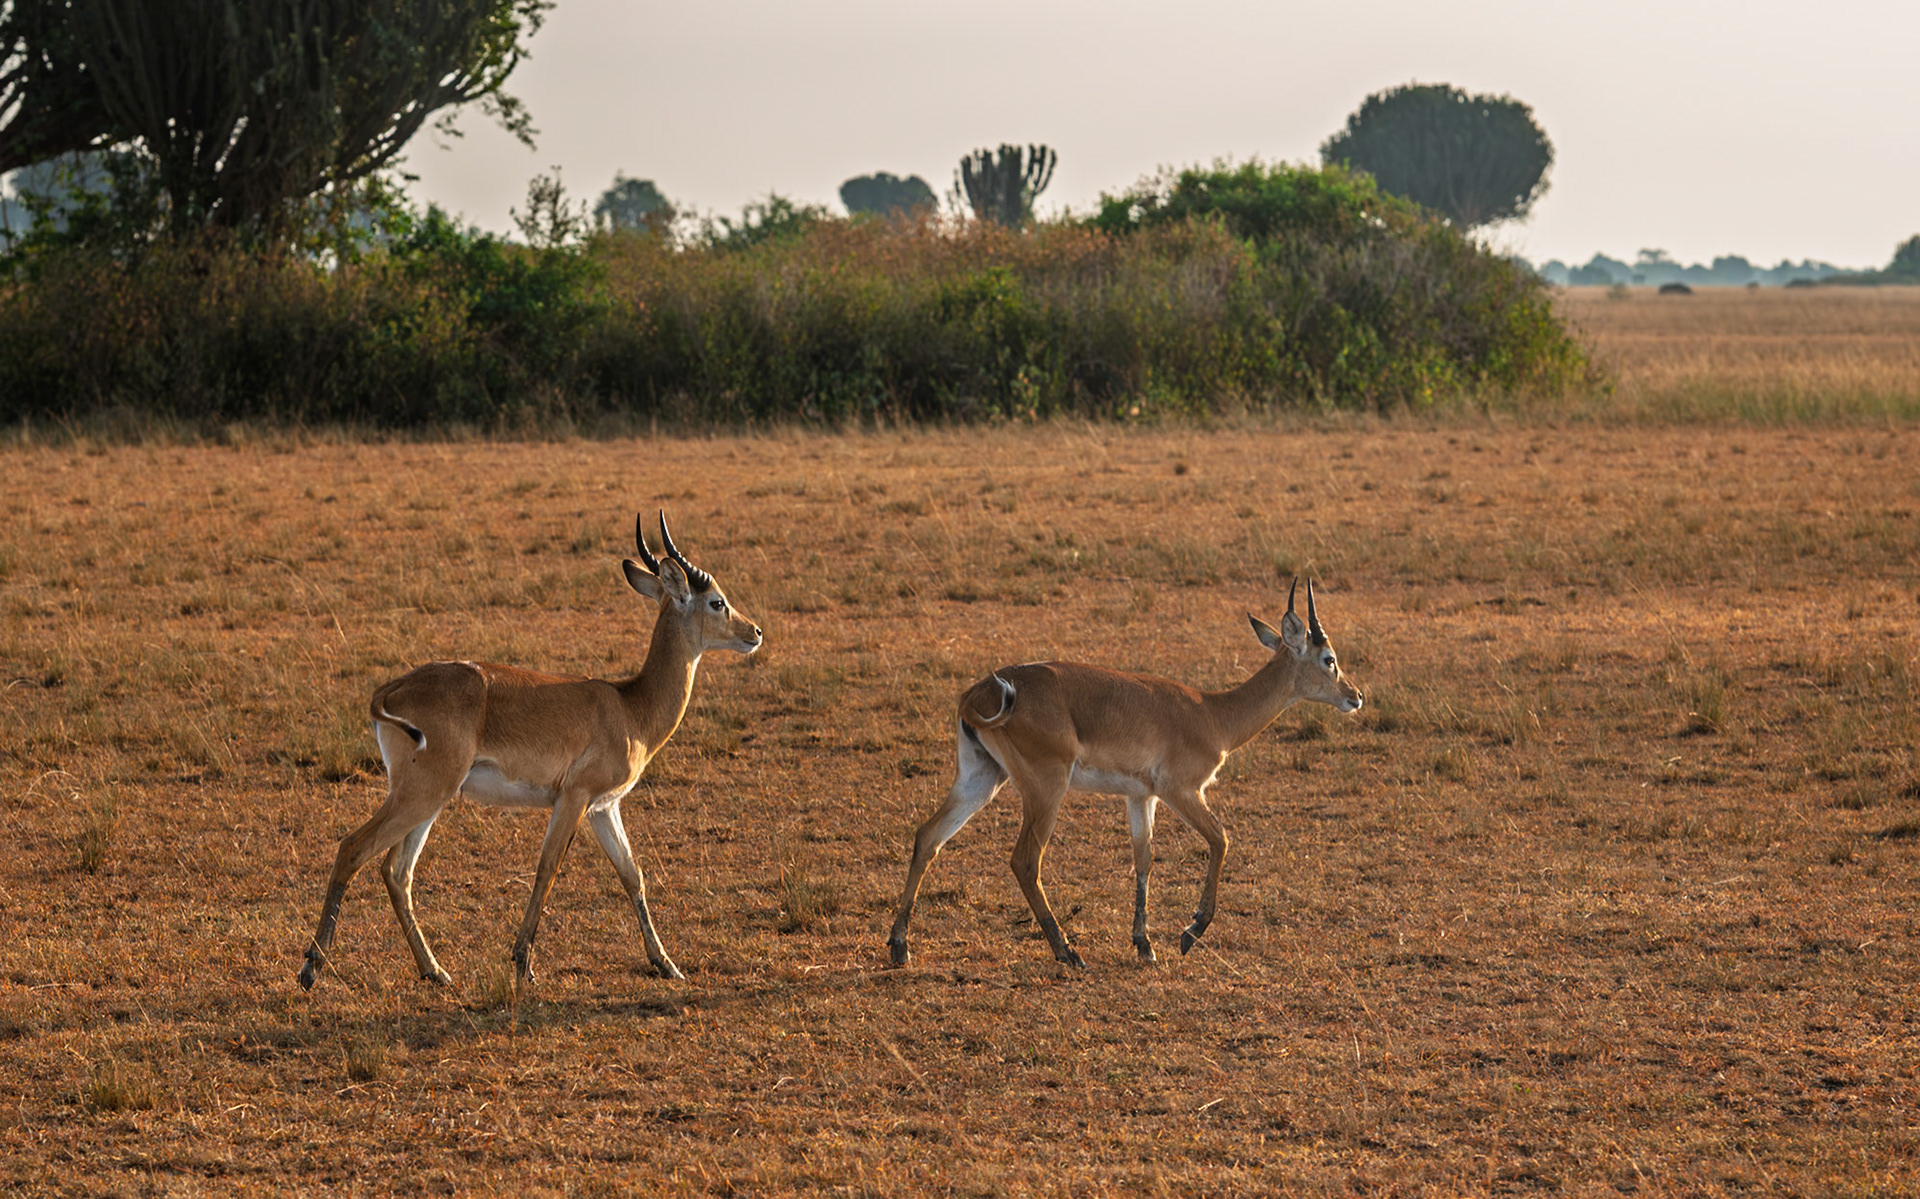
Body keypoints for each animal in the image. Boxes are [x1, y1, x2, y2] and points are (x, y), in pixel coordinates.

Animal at [297, 513, 761, 991]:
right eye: (717, 602)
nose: (756, 633)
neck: (630, 707)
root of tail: (389, 689)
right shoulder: (574, 798)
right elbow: (547, 868)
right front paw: (523, 962)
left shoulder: (603, 807)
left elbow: (632, 875)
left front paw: (666, 963)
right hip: (422, 793)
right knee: (353, 848)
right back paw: (311, 969)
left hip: (431, 798)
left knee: (396, 870)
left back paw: (435, 971)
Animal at [888, 579, 1362, 968]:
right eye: (1329, 658)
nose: (1355, 695)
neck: (1213, 714)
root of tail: (979, 693)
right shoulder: (1181, 790)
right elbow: (1221, 839)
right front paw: (1190, 932)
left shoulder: (1141, 796)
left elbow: (1143, 858)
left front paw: (1144, 944)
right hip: (1046, 789)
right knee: (1024, 860)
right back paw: (1068, 952)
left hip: (981, 779)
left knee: (928, 837)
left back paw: (899, 946)